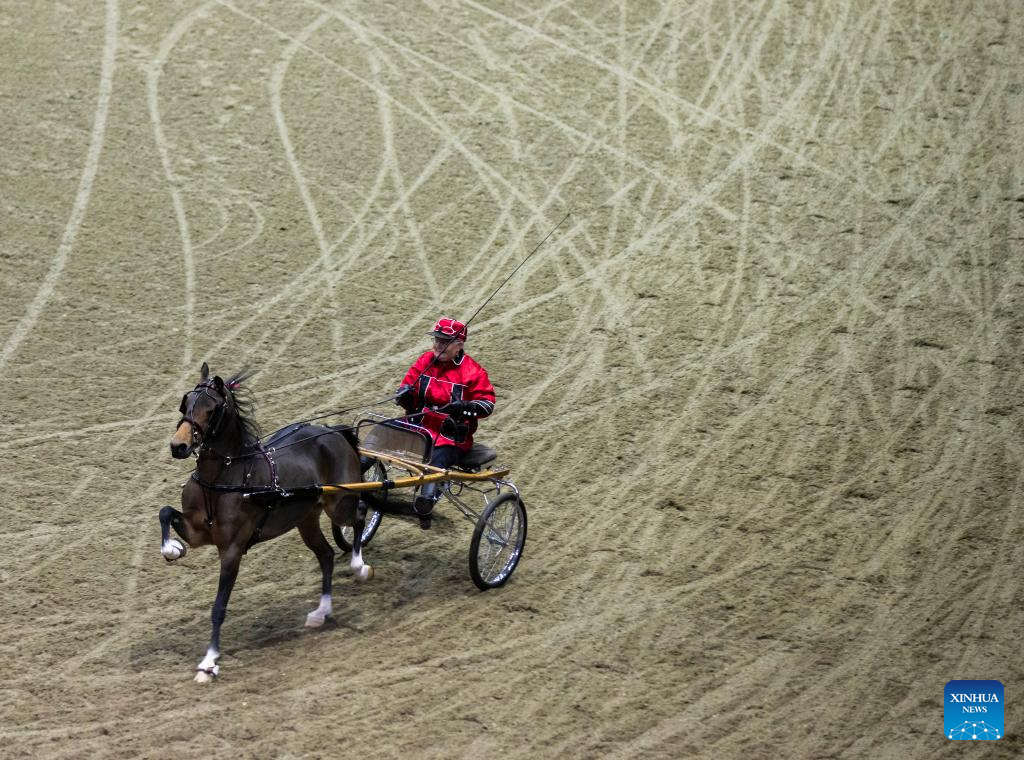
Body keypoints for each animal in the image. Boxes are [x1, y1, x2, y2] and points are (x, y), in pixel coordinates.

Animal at [157, 362, 370, 684]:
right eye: (186, 403)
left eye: (211, 409)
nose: (178, 446)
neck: (222, 479)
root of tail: (332, 431)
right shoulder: (197, 532)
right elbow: (165, 512)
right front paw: (172, 549)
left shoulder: (231, 550)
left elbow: (219, 607)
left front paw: (209, 662)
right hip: (306, 518)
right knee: (326, 554)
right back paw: (321, 611)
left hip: (339, 504)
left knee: (359, 515)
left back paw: (359, 565)